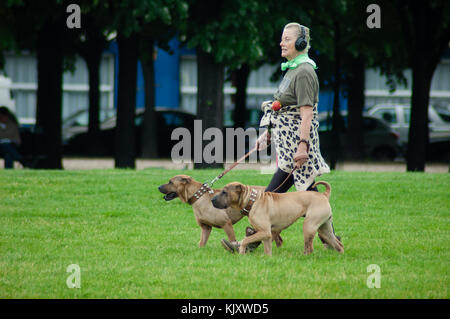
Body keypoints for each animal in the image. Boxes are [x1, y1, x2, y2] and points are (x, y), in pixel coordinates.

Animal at [212, 181, 344, 256]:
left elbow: (245, 240)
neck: (252, 201)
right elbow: (267, 249)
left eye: (224, 192)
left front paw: (241, 251)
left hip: (309, 226)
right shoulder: (266, 234)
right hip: (324, 229)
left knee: (309, 247)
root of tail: (324, 195)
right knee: (338, 244)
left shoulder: (265, 232)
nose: (212, 200)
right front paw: (267, 258)